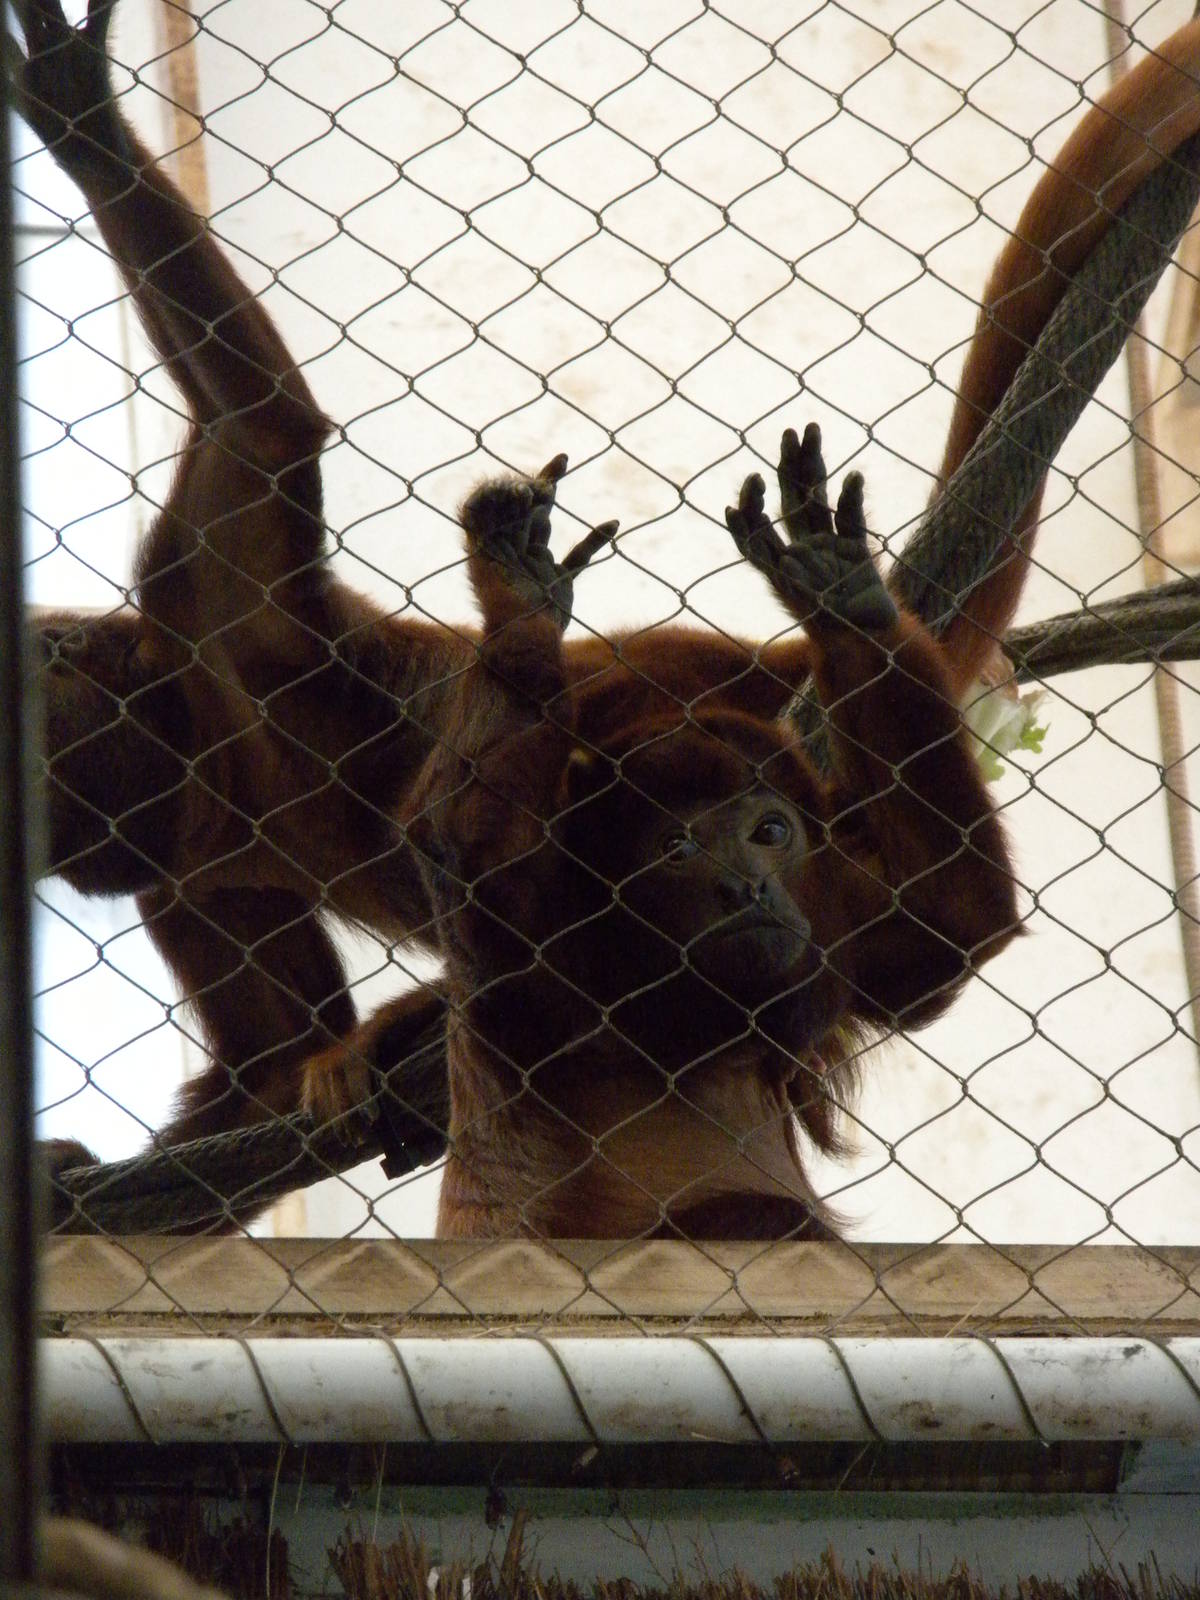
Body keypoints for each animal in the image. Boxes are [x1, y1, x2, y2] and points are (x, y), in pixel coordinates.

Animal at [304, 424, 1016, 1239]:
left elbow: (953, 920)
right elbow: (464, 839)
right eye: (676, 848)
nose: (746, 886)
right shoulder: (531, 942)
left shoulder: (834, 925)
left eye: (770, 831)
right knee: (749, 1215)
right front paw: (519, 597)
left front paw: (843, 597)